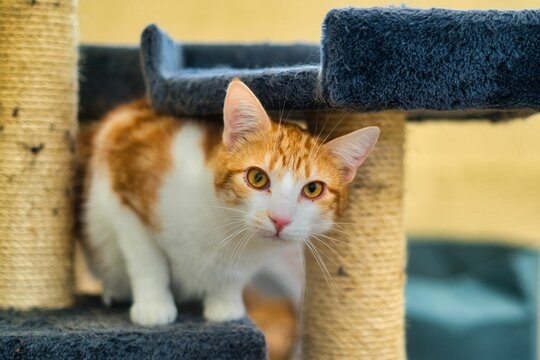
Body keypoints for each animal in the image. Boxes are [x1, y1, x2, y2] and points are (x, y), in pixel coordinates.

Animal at [81, 79, 380, 326]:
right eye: (257, 177)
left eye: (313, 189)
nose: (280, 219)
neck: (225, 227)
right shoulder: (123, 180)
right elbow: (147, 260)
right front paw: (154, 307)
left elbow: (232, 277)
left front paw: (225, 306)